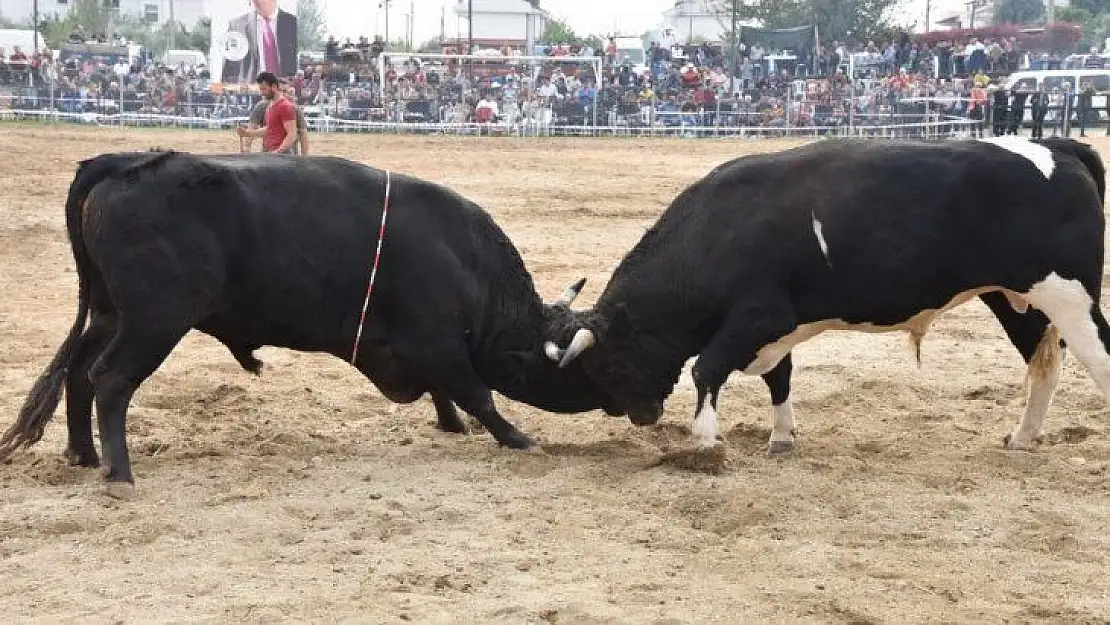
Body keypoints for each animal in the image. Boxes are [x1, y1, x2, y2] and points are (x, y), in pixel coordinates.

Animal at [0, 152, 621, 499]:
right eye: (570, 369)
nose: (613, 401)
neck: (461, 257)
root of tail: (118, 164)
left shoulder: (422, 349)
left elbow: (447, 391)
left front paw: (453, 426)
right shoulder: (436, 340)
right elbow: (477, 393)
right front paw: (517, 438)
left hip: (111, 313)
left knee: (79, 372)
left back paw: (83, 454)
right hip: (155, 320)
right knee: (110, 379)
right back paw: (121, 475)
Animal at [548, 138, 1110, 455]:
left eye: (609, 366)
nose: (637, 417)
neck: (717, 230)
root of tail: (1060, 149)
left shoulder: (758, 316)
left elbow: (706, 370)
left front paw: (705, 440)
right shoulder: (775, 327)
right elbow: (779, 378)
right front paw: (780, 438)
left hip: (1070, 297)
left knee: (1098, 359)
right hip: (1017, 300)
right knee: (1044, 366)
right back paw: (1022, 438)